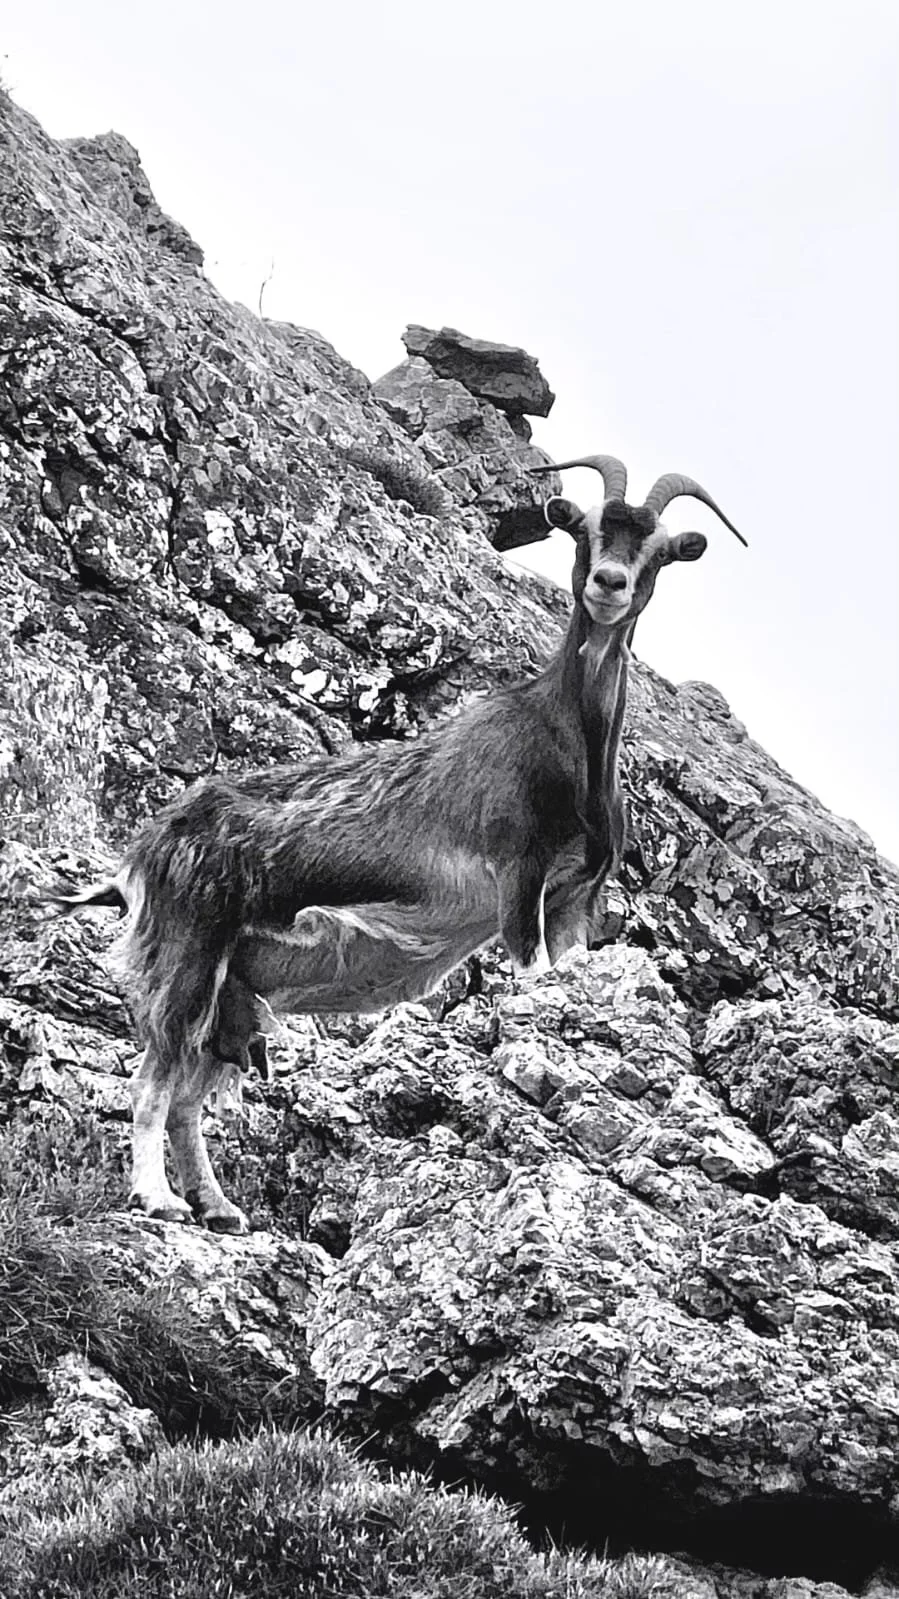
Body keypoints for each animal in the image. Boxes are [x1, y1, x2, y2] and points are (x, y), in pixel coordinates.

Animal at [55, 455, 744, 1232]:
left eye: (659, 550)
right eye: (585, 530)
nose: (608, 583)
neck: (565, 740)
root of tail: (143, 853)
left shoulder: (575, 898)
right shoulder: (518, 882)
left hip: (233, 990)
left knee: (186, 1098)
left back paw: (220, 1207)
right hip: (188, 953)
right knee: (152, 1081)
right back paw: (157, 1198)